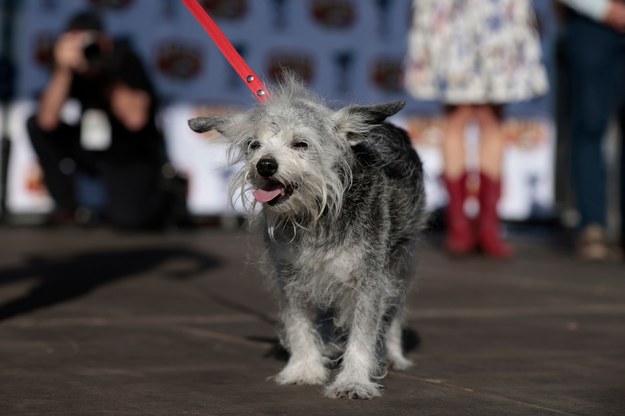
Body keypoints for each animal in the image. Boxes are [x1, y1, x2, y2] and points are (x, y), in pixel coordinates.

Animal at [188, 75, 426, 400]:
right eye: (254, 145)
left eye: (300, 144)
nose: (265, 164)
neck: (315, 214)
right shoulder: (291, 276)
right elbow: (299, 324)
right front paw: (304, 368)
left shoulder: (369, 278)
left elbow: (364, 331)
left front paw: (354, 379)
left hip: (401, 262)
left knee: (394, 310)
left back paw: (391, 354)